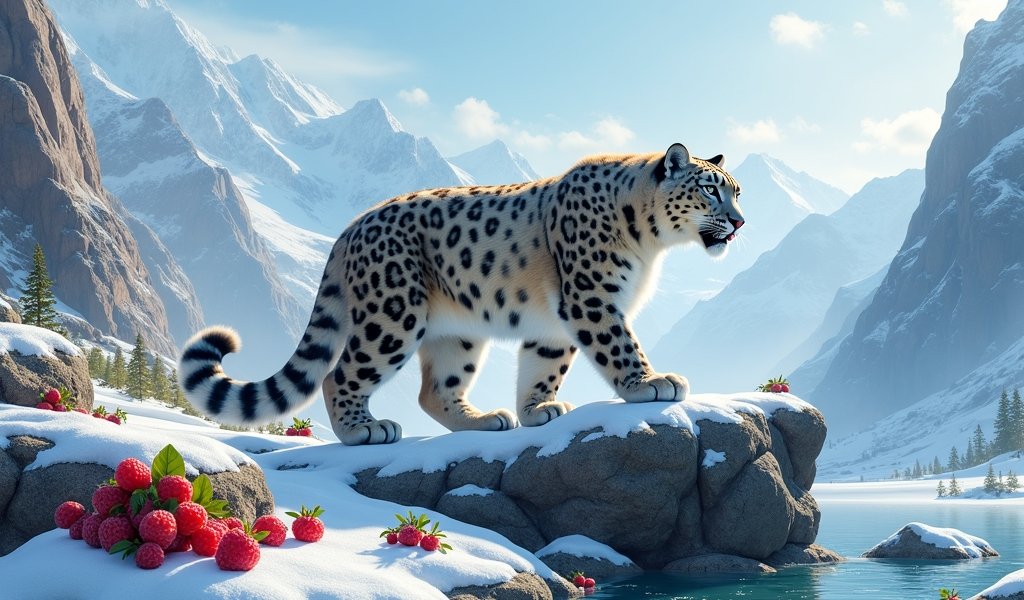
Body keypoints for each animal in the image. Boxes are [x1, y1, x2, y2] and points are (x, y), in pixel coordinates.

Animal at [178, 143, 745, 445]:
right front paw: (651, 382)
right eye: (710, 189)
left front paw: (538, 409)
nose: (740, 222)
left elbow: (545, 366)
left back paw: (484, 419)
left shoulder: (553, 323)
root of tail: (351, 228)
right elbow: (620, 344)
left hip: (459, 334)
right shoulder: (590, 296)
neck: (652, 243)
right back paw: (365, 430)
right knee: (341, 373)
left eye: (737, 191)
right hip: (392, 315)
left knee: (436, 389)